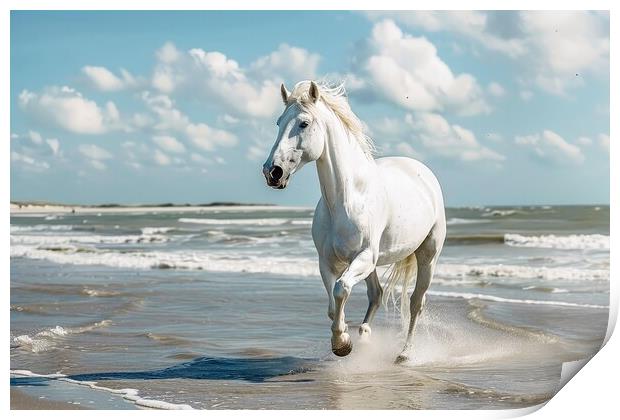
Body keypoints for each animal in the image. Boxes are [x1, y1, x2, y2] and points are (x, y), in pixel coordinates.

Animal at [262, 80, 446, 362]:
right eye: (279, 122)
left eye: (303, 123)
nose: (272, 171)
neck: (347, 199)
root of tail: (421, 170)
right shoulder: (328, 262)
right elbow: (332, 303)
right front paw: (346, 341)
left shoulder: (363, 256)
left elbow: (341, 290)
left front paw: (342, 344)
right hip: (372, 264)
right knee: (377, 294)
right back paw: (366, 335)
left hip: (427, 255)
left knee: (416, 302)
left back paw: (404, 354)